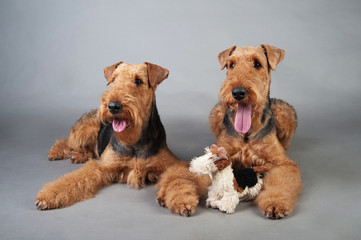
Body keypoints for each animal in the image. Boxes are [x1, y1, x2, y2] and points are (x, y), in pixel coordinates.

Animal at [35, 61, 179, 209]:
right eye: (114, 79)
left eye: (138, 81)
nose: (113, 106)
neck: (133, 142)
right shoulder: (102, 166)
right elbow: (78, 177)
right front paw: (47, 196)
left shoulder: (172, 164)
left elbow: (177, 177)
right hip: (85, 130)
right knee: (67, 141)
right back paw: (56, 152)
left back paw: (78, 155)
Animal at [155, 44, 300, 218]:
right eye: (231, 65)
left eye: (257, 64)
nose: (238, 92)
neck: (247, 133)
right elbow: (183, 175)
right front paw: (180, 199)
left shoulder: (282, 164)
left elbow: (279, 182)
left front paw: (275, 204)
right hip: (217, 112)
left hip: (285, 112)